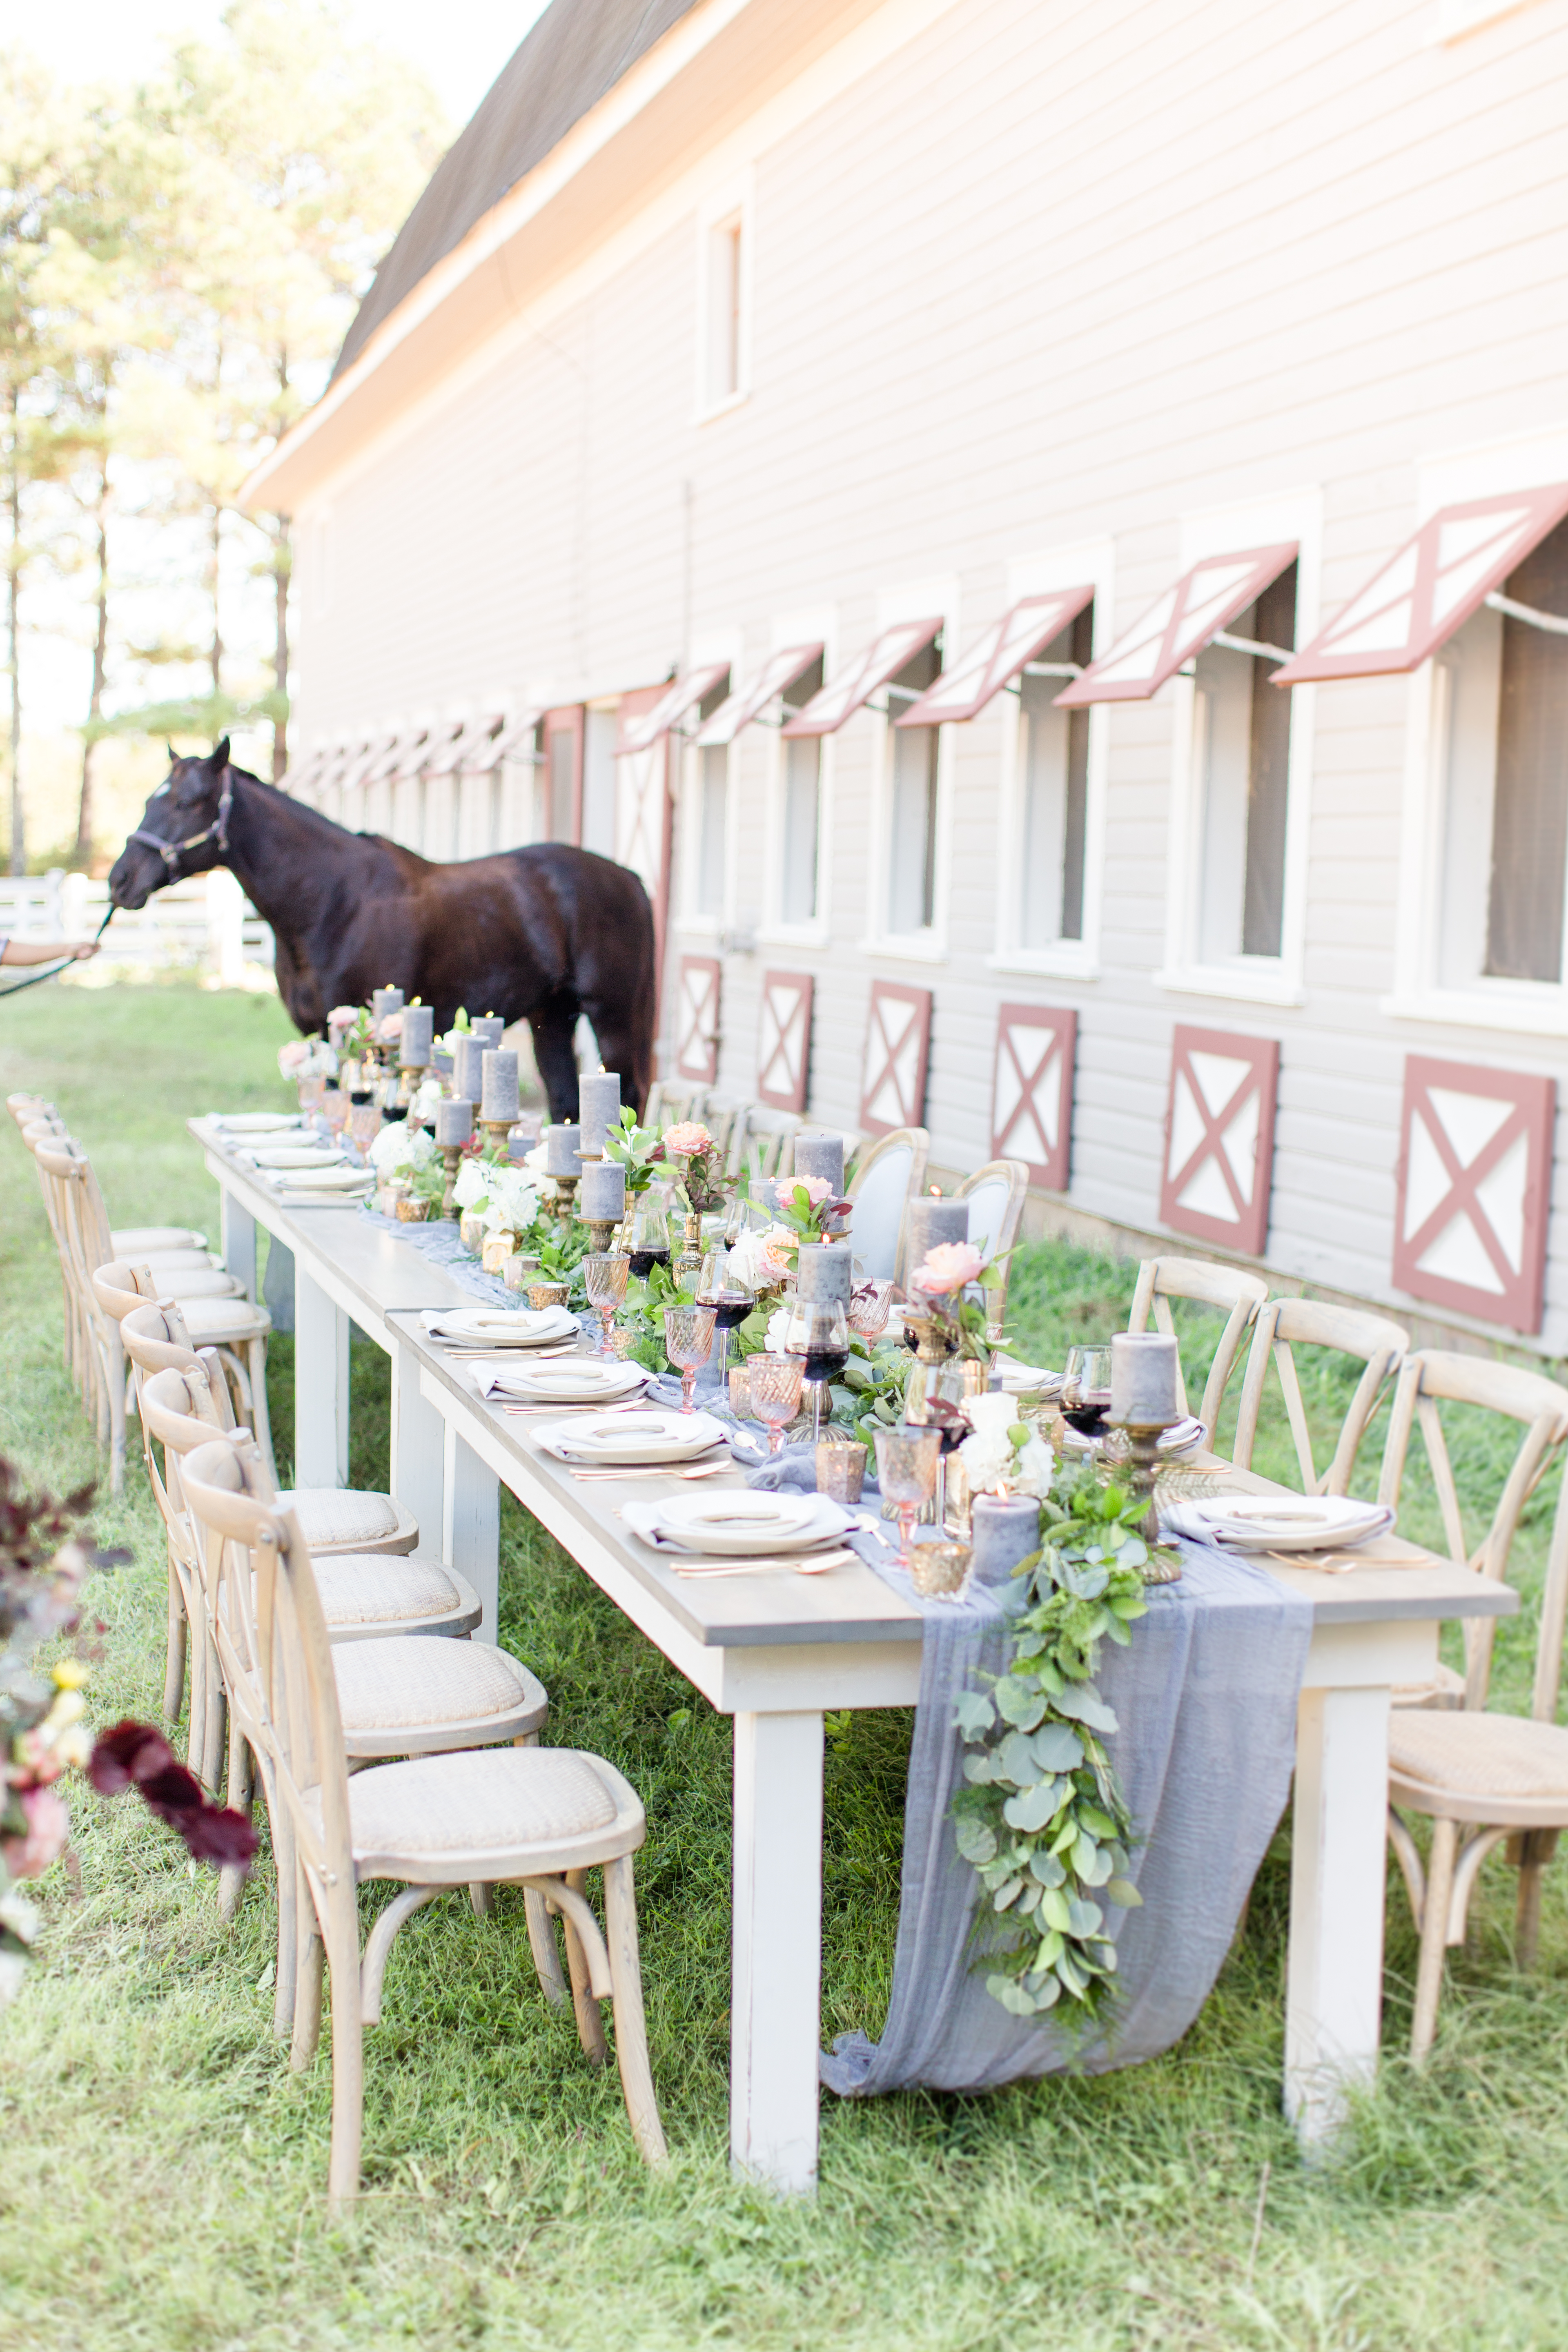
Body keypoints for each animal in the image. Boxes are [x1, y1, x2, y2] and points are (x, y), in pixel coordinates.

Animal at [106, 748, 658, 1124]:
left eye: (189, 802)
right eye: (151, 799)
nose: (119, 880)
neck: (332, 902)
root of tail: (628, 877)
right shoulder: (322, 1034)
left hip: (611, 1016)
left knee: (629, 1095)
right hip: (554, 1017)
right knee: (567, 1100)